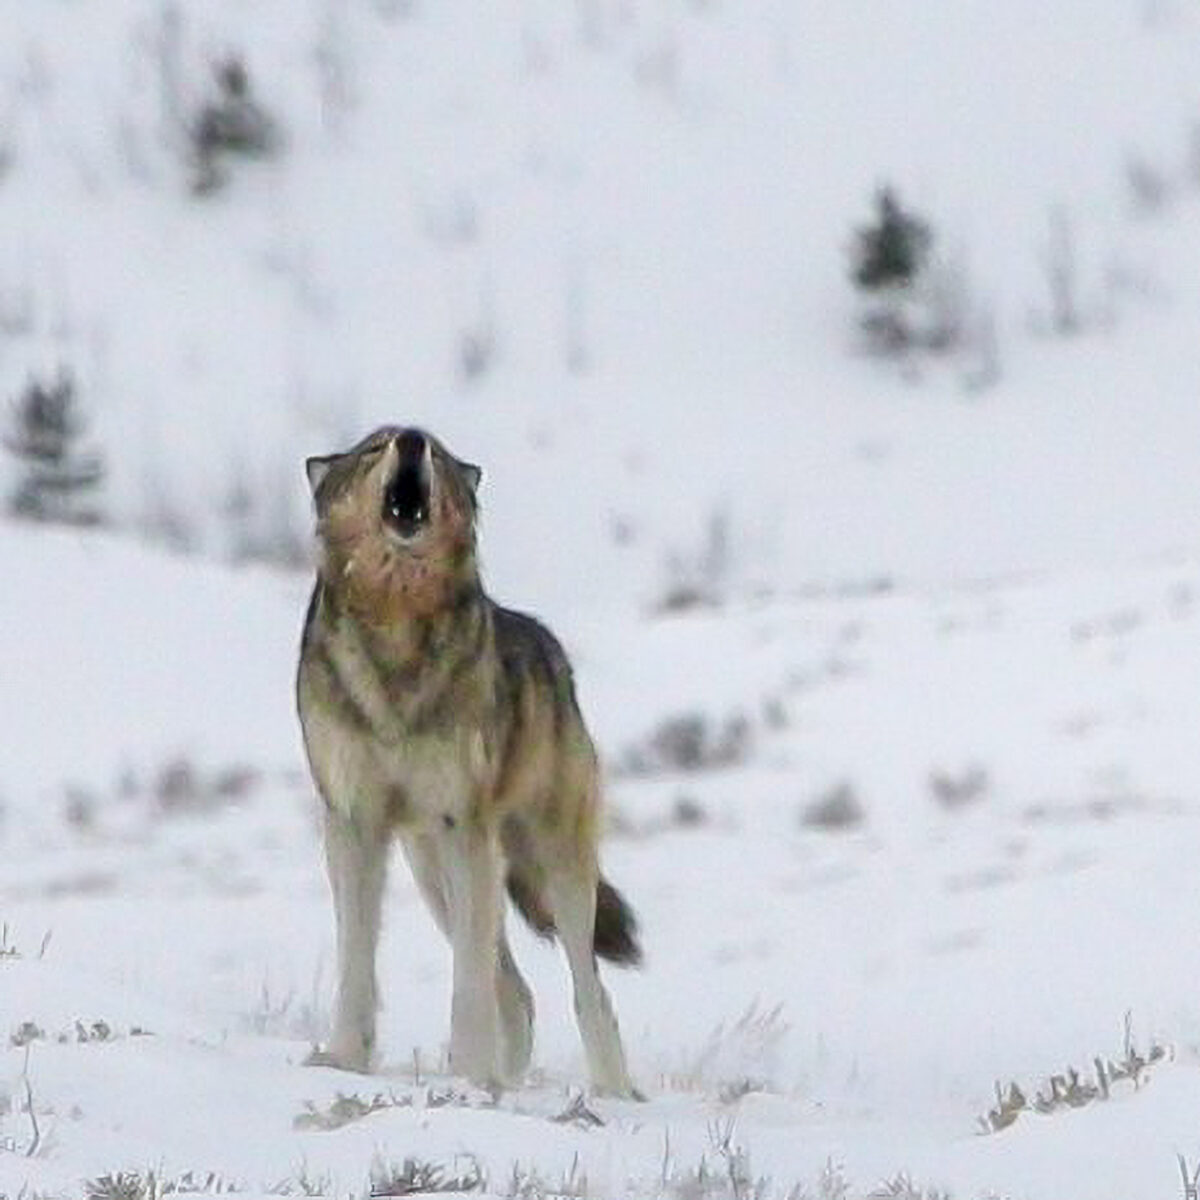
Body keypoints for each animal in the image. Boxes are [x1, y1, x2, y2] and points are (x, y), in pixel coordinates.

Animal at [296, 425, 640, 1097]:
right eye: (375, 448)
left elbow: (468, 985)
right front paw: (346, 1057)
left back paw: (609, 1092)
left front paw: (470, 1075)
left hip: (548, 866)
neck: (395, 627)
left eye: (434, 447)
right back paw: (510, 1077)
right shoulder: (353, 822)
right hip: (434, 872)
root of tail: (556, 658)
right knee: (518, 992)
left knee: (588, 991)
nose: (409, 440)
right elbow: (356, 962)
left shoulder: (463, 825)